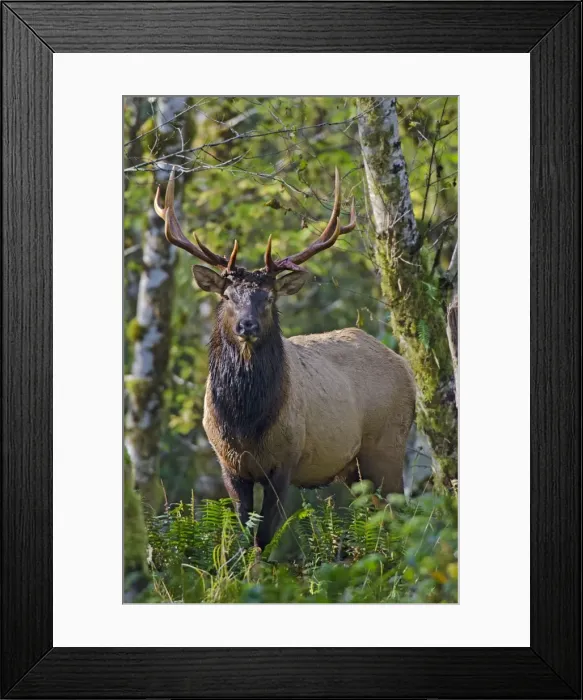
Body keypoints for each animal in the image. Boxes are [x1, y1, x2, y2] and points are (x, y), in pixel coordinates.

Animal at [154, 168, 416, 550]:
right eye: (228, 296)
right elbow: (246, 533)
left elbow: (264, 536)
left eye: (269, 297)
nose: (247, 325)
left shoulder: (286, 460)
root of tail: (408, 370)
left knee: (405, 513)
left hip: (387, 445)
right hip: (355, 468)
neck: (245, 423)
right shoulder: (229, 464)